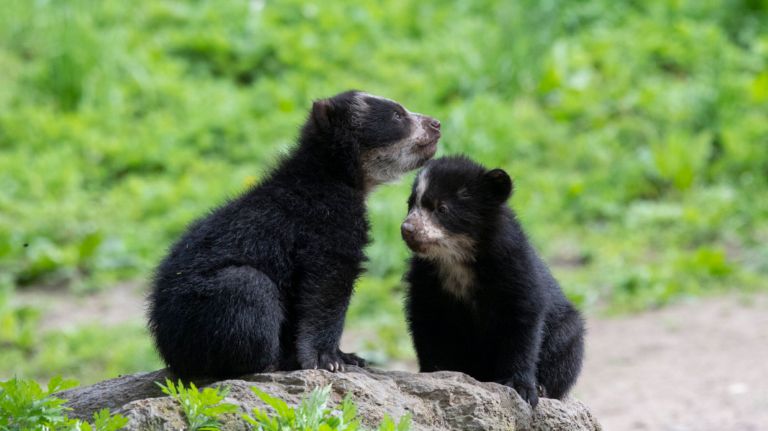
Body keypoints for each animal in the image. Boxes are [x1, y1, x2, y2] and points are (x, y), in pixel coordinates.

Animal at [147, 90, 441, 378]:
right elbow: (326, 286)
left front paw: (349, 356)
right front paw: (327, 359)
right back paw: (272, 361)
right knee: (247, 287)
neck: (333, 176)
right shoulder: (326, 222)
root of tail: (164, 342)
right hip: (201, 309)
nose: (436, 123)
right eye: (397, 115)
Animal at [400, 156, 584, 407]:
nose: (407, 229)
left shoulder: (513, 266)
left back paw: (544, 387)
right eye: (411, 204)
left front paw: (522, 388)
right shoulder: (427, 278)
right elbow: (426, 321)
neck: (458, 260)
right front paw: (435, 372)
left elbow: (523, 322)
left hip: (567, 331)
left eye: (442, 208)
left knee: (564, 352)